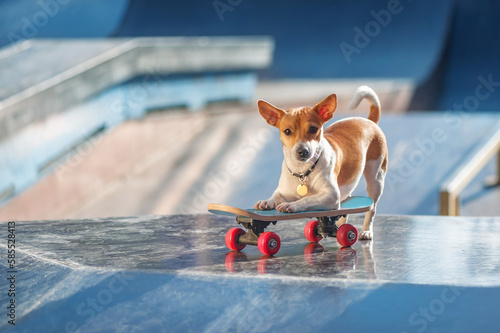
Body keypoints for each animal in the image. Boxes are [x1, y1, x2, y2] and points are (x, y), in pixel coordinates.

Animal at [256, 85, 388, 239]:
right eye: (287, 131)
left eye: (313, 129)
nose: (303, 151)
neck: (303, 171)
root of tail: (369, 121)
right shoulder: (284, 191)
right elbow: (276, 196)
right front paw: (268, 201)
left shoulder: (331, 195)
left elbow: (307, 199)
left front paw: (294, 205)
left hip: (376, 179)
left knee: (371, 209)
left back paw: (366, 231)